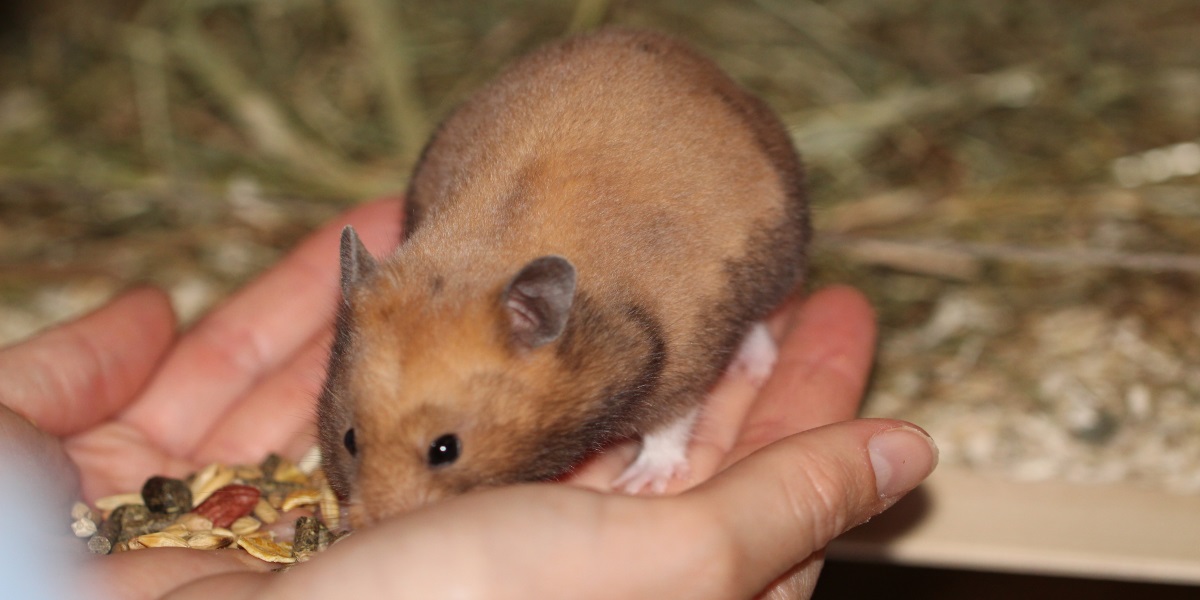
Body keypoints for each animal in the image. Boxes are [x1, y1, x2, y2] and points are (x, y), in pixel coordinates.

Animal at [316, 27, 809, 527]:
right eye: (350, 439)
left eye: (445, 449)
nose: (374, 525)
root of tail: (690, 55)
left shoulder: (684, 352)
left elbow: (671, 424)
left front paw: (639, 483)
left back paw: (755, 369)